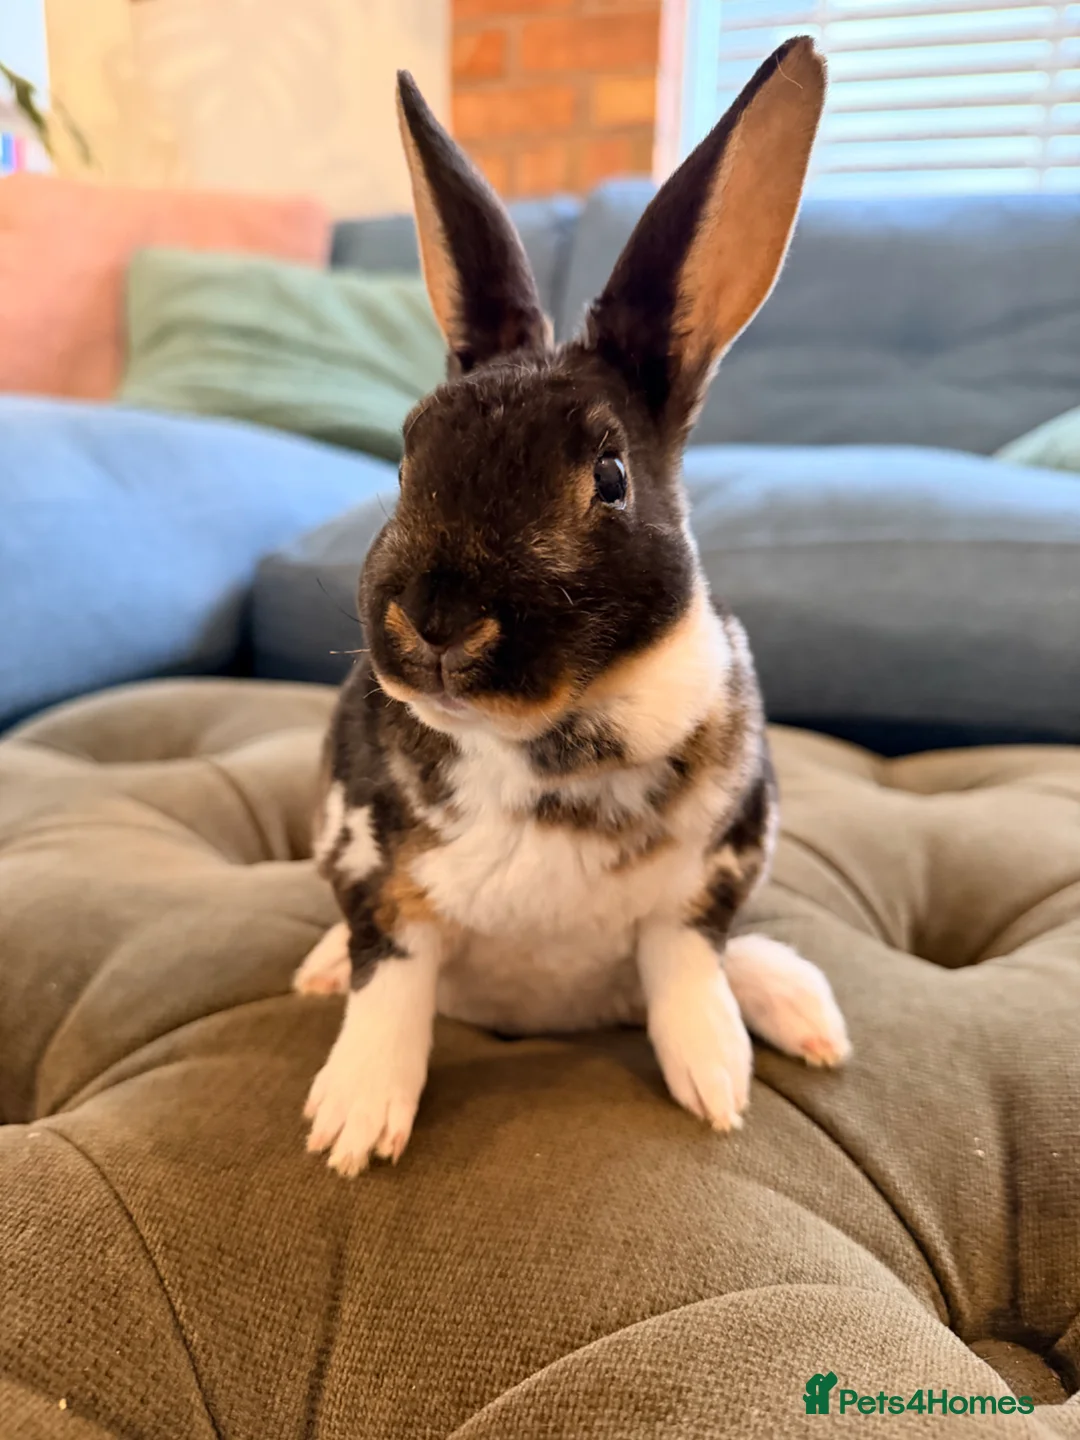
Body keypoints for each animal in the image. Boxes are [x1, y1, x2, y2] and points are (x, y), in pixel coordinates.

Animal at [294, 37, 851, 1177]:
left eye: (610, 475)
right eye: (407, 453)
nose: (439, 619)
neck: (541, 742)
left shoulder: (715, 874)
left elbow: (685, 962)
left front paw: (716, 1083)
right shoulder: (375, 871)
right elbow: (392, 975)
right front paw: (352, 1124)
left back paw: (797, 1008)